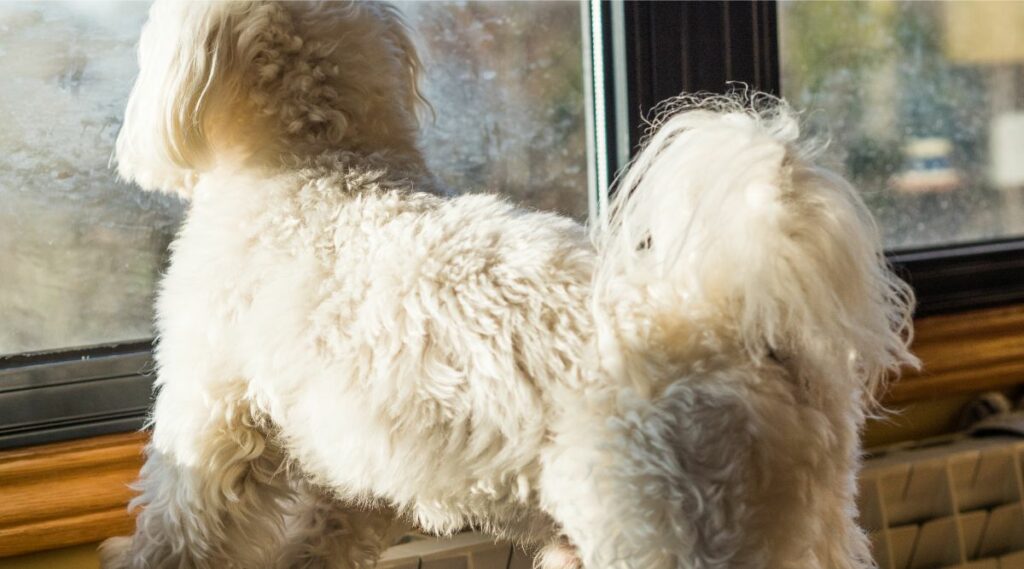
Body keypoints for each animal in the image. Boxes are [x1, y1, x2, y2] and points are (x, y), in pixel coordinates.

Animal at [99, 2, 917, 564]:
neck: (316, 166)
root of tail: (738, 326)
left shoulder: (213, 420)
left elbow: (181, 527)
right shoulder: (353, 461)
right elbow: (334, 525)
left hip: (657, 524)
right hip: (807, 526)